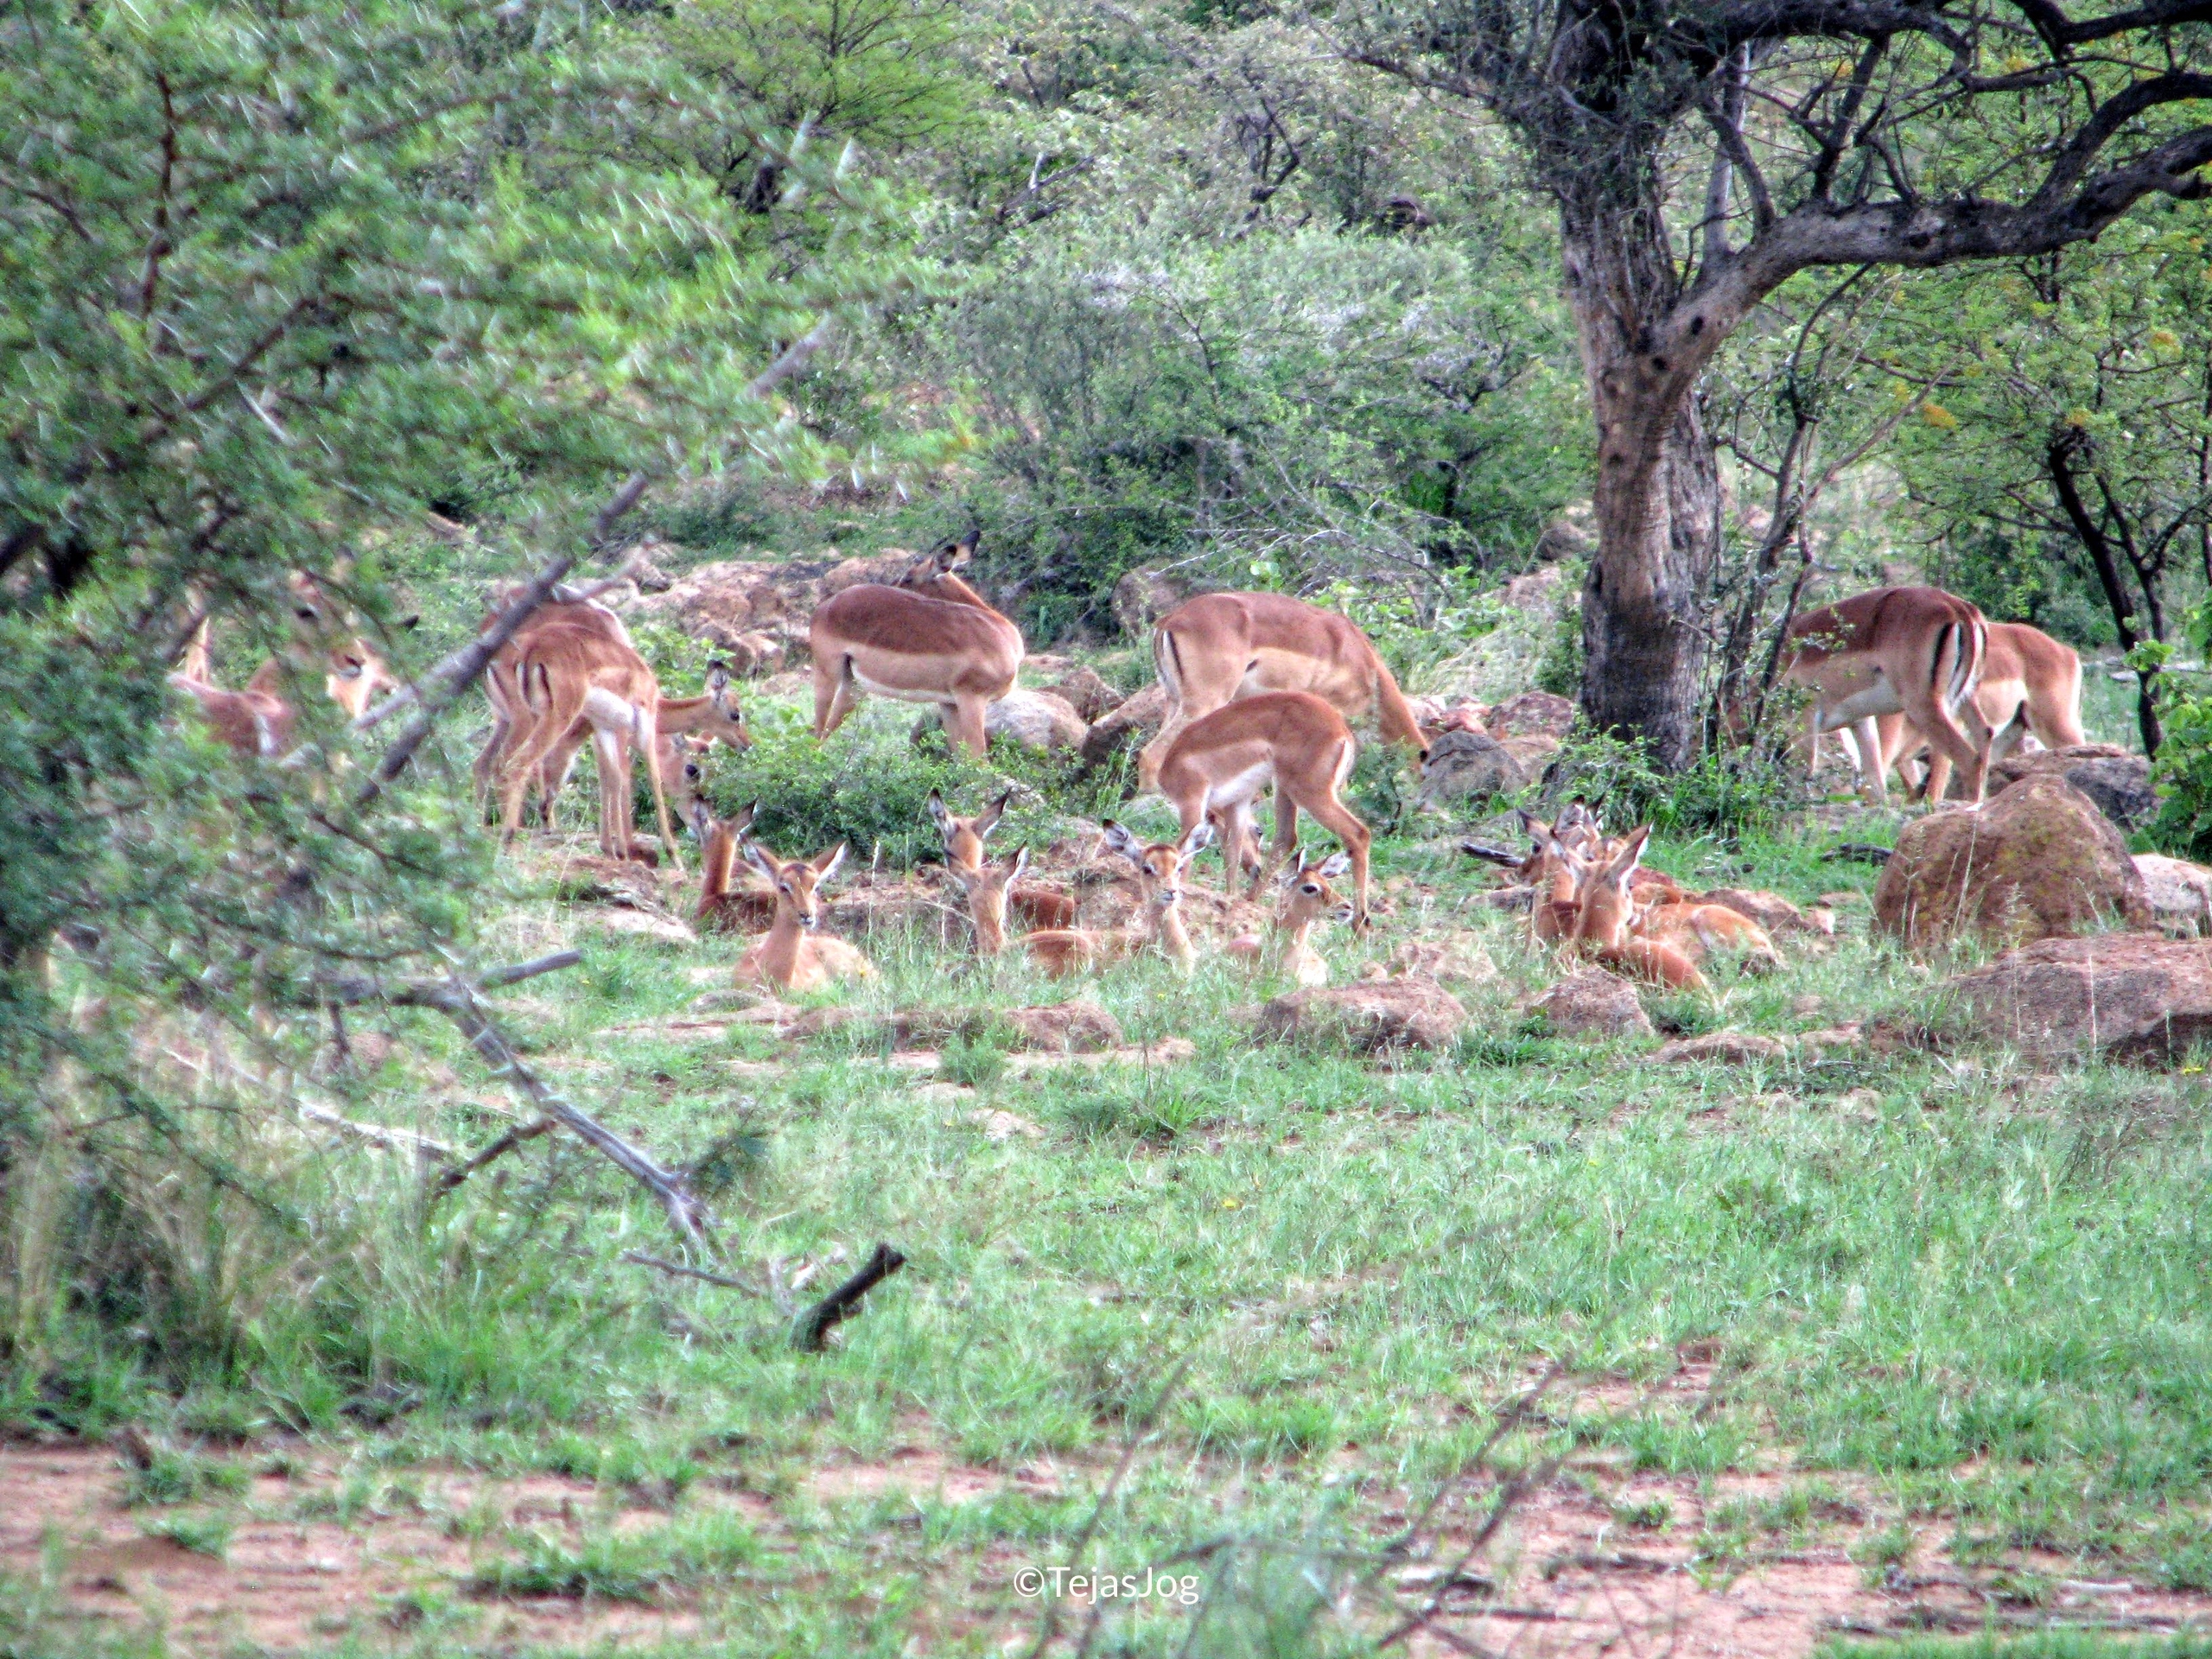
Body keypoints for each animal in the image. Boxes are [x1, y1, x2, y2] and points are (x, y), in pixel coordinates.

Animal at [496, 623, 684, 873]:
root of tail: (532, 649)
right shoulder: (644, 727)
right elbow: (653, 780)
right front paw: (673, 856)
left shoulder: (605, 727)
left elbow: (614, 777)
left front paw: (619, 851)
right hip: (556, 718)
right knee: (517, 764)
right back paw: (507, 839)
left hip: (531, 717)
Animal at [808, 532, 1024, 758]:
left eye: (908, 577)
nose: (895, 586)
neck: (1002, 633)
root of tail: (825, 607)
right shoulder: (972, 700)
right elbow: (977, 759)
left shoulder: (950, 703)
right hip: (827, 674)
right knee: (815, 733)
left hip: (854, 686)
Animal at [1155, 691, 1375, 931]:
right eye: (1258, 831)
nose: (1255, 869)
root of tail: (1341, 730)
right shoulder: (1237, 803)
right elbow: (1232, 855)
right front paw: (1230, 899)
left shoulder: (1192, 803)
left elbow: (1187, 856)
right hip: (1286, 790)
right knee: (1287, 838)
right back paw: (1250, 899)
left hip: (1306, 793)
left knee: (1357, 833)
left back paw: (1360, 924)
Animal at [1780, 586, 1994, 806]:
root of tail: (1958, 608)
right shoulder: (1860, 721)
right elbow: (1876, 789)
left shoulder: (1804, 720)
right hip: (1966, 697)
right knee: (1984, 734)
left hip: (1924, 707)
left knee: (1968, 759)